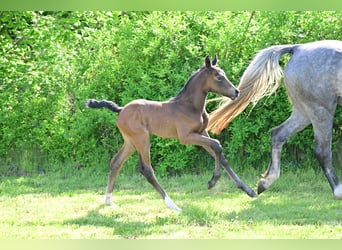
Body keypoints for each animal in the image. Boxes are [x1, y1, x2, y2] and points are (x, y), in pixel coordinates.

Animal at [208, 40, 342, 198]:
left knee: (278, 134)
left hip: (304, 112)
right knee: (322, 151)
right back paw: (338, 191)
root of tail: (298, 48)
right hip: (321, 109)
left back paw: (265, 183)